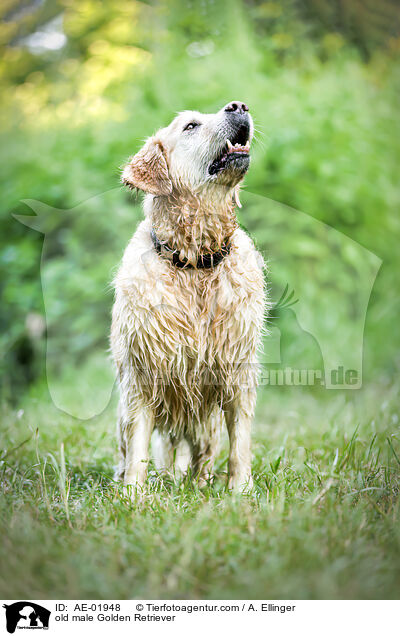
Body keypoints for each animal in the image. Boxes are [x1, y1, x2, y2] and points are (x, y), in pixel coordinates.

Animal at [110, 102, 266, 494]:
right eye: (191, 126)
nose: (239, 106)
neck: (195, 262)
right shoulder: (142, 376)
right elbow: (138, 445)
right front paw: (133, 495)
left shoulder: (237, 371)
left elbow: (240, 442)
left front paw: (240, 491)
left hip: (203, 424)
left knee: (201, 454)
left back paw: (199, 481)